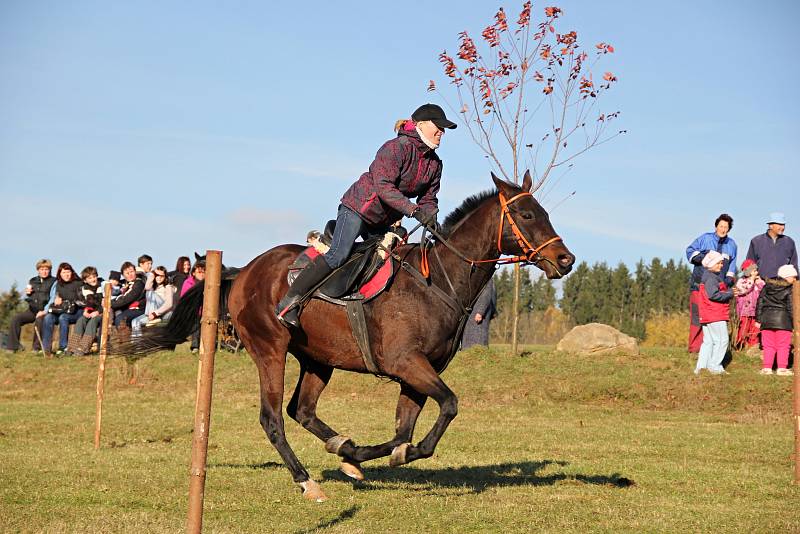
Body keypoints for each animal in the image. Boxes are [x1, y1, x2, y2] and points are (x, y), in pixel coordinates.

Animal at [134, 172, 572, 502]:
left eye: (546, 213)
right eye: (527, 214)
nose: (565, 260)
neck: (438, 281)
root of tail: (242, 271)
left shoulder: (415, 373)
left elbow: (403, 433)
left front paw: (365, 455)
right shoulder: (407, 363)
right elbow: (447, 406)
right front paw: (376, 456)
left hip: (317, 359)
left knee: (302, 410)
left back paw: (342, 449)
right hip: (270, 349)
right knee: (272, 417)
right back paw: (307, 481)